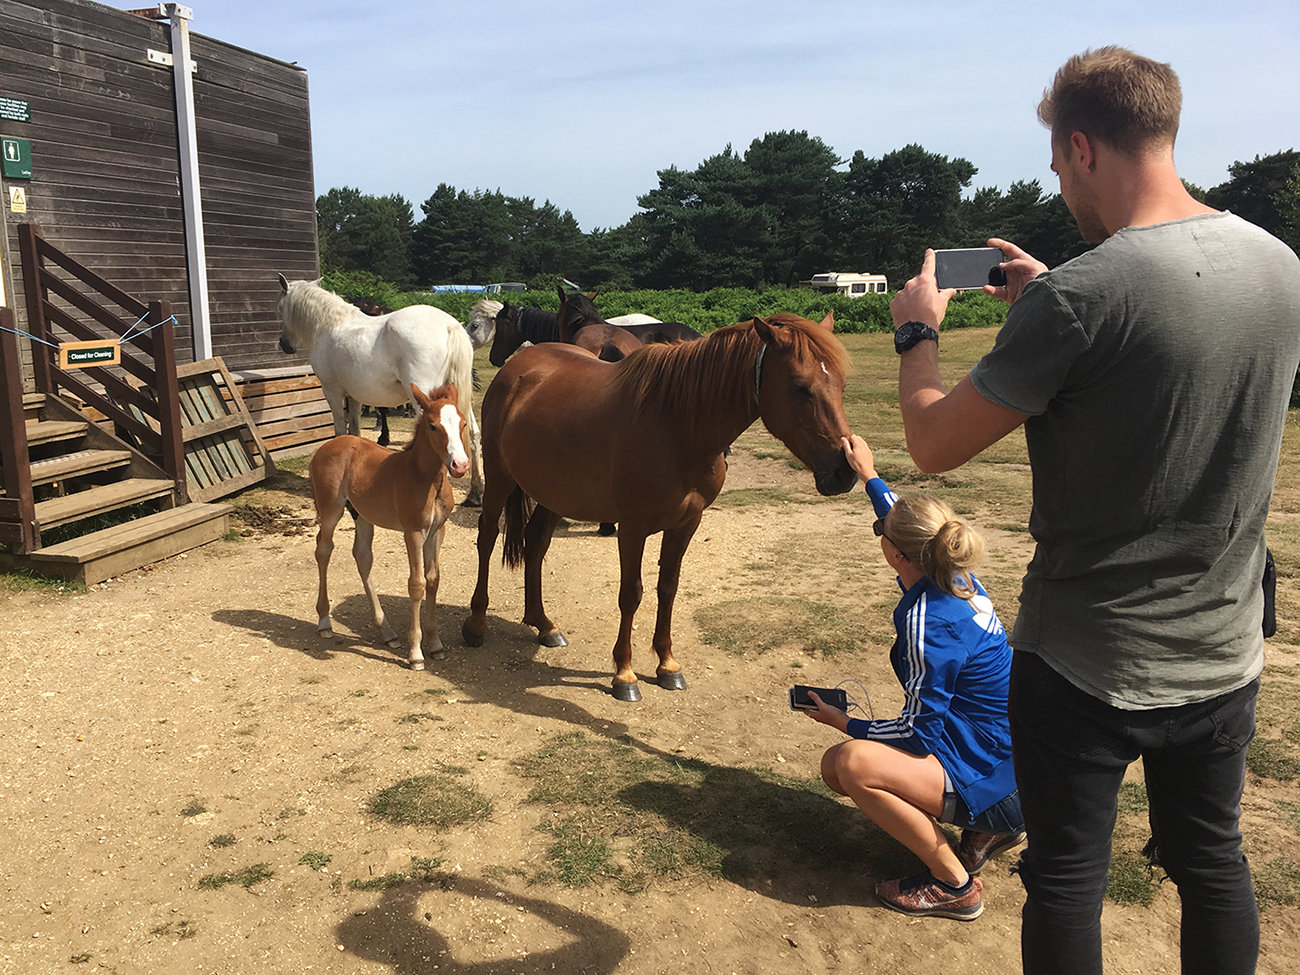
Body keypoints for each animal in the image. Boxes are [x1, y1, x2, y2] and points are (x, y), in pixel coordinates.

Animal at [276, 273, 486, 504]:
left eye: (281, 307)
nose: (284, 345)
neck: (329, 326)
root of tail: (449, 325)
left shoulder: (332, 391)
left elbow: (340, 429)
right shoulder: (354, 396)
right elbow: (355, 430)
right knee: (473, 434)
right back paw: (475, 493)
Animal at [309, 382, 473, 670]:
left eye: (462, 422)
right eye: (433, 426)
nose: (460, 465)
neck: (424, 477)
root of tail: (327, 445)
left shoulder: (437, 532)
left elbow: (433, 580)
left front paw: (436, 644)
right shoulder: (413, 533)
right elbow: (417, 584)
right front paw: (416, 653)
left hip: (362, 515)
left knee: (362, 556)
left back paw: (387, 632)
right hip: (331, 510)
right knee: (324, 549)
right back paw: (325, 622)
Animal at [462, 313, 857, 702]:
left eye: (841, 384)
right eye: (800, 387)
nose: (845, 471)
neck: (677, 426)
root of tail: (519, 366)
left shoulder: (686, 523)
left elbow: (668, 587)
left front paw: (667, 665)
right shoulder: (632, 527)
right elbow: (631, 594)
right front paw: (624, 674)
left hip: (555, 493)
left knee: (536, 542)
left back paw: (543, 624)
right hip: (500, 479)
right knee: (487, 538)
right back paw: (476, 623)